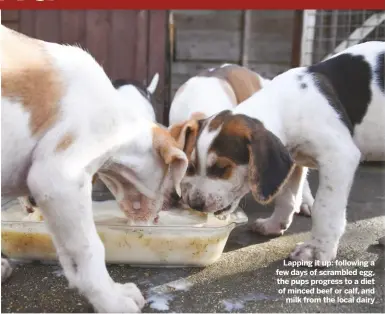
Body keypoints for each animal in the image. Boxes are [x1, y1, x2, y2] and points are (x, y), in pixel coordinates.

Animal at [0, 25, 186, 312]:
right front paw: (110, 301)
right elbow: (91, 248)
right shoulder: (57, 179)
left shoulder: (53, 195)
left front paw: (108, 290)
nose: (175, 203)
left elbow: (69, 252)